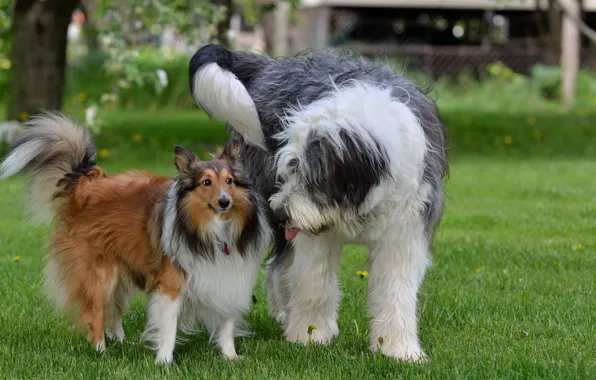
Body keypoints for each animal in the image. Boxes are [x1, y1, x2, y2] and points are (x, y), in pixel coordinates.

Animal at [187, 43, 448, 360]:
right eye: (288, 169)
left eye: (311, 177)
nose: (279, 213)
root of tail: (273, 66)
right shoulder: (313, 235)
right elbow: (314, 283)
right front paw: (308, 337)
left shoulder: (404, 231)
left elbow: (395, 290)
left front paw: (398, 350)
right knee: (281, 264)